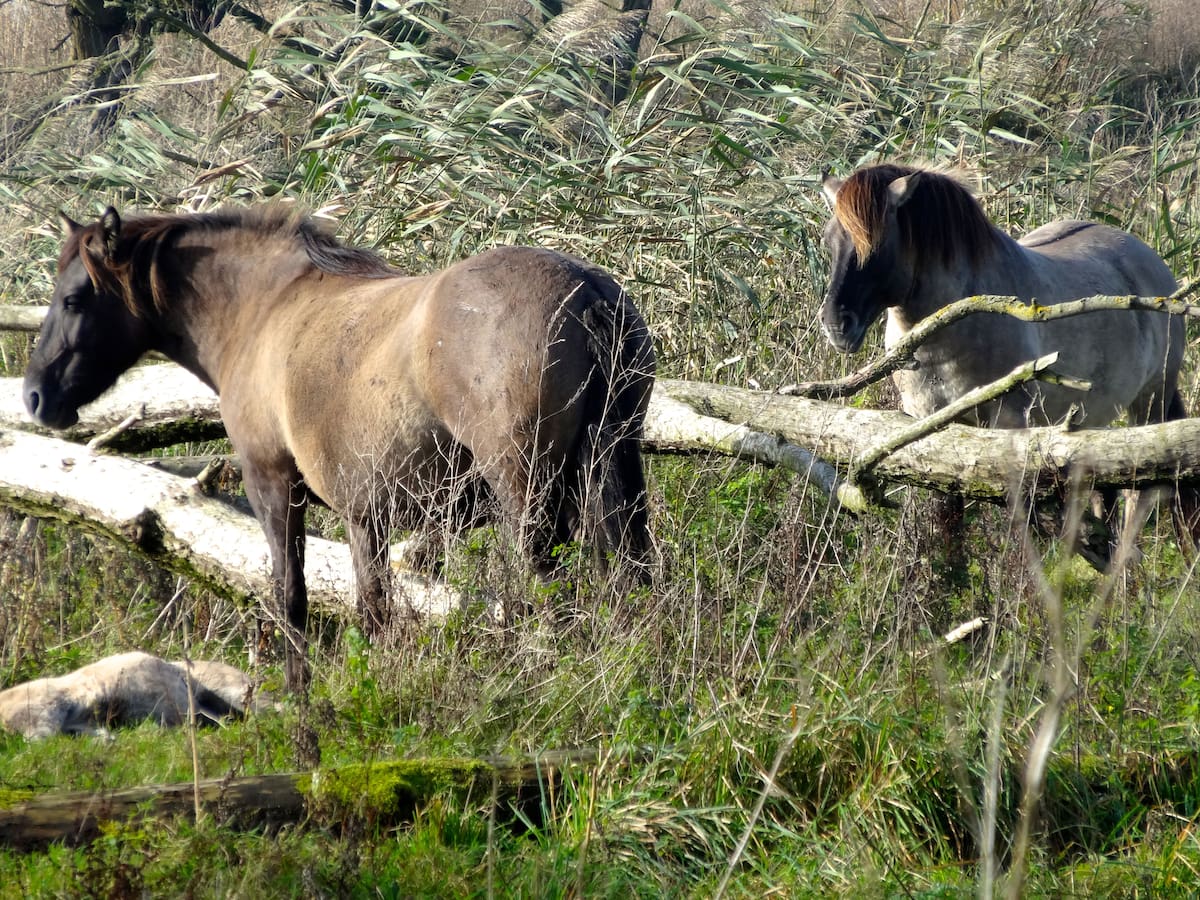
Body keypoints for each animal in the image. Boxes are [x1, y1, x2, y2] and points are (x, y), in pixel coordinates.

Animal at [23, 206, 656, 691]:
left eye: (74, 299)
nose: (34, 396)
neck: (267, 308)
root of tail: (584, 287)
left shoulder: (274, 485)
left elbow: (291, 596)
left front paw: (301, 697)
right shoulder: (364, 513)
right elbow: (374, 609)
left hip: (526, 490)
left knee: (543, 582)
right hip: (613, 471)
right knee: (630, 573)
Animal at [818, 162, 1186, 561]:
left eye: (876, 245)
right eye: (829, 240)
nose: (835, 325)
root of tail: (1153, 264)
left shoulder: (1008, 425)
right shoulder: (928, 426)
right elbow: (948, 519)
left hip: (1149, 405)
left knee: (1139, 495)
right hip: (1095, 417)